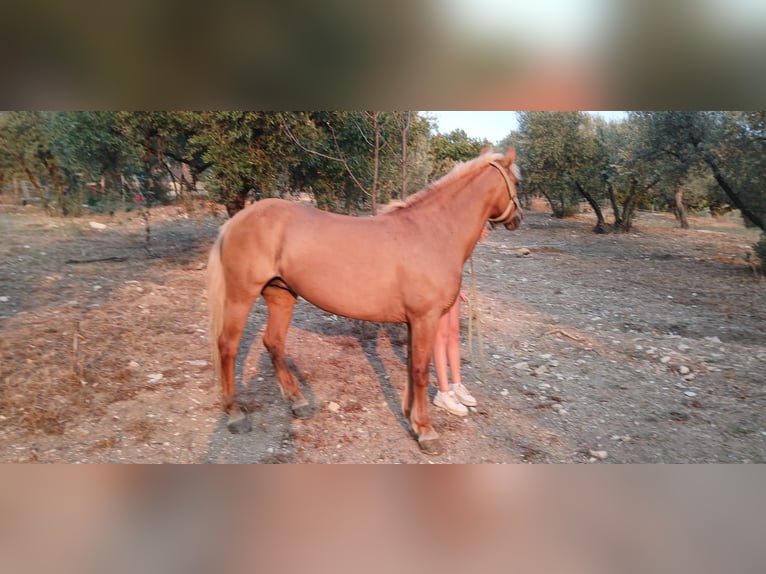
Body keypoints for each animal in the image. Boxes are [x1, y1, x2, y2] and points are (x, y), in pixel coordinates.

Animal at [207, 146, 524, 456]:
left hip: (280, 294)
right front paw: (426, 432)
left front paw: (411, 418)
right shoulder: (426, 318)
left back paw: (298, 402)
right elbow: (421, 371)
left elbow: (411, 366)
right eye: (517, 182)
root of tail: (235, 220)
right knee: (228, 347)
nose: (517, 219)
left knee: (273, 342)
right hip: (241, 295)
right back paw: (235, 415)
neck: (432, 232)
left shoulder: (414, 321)